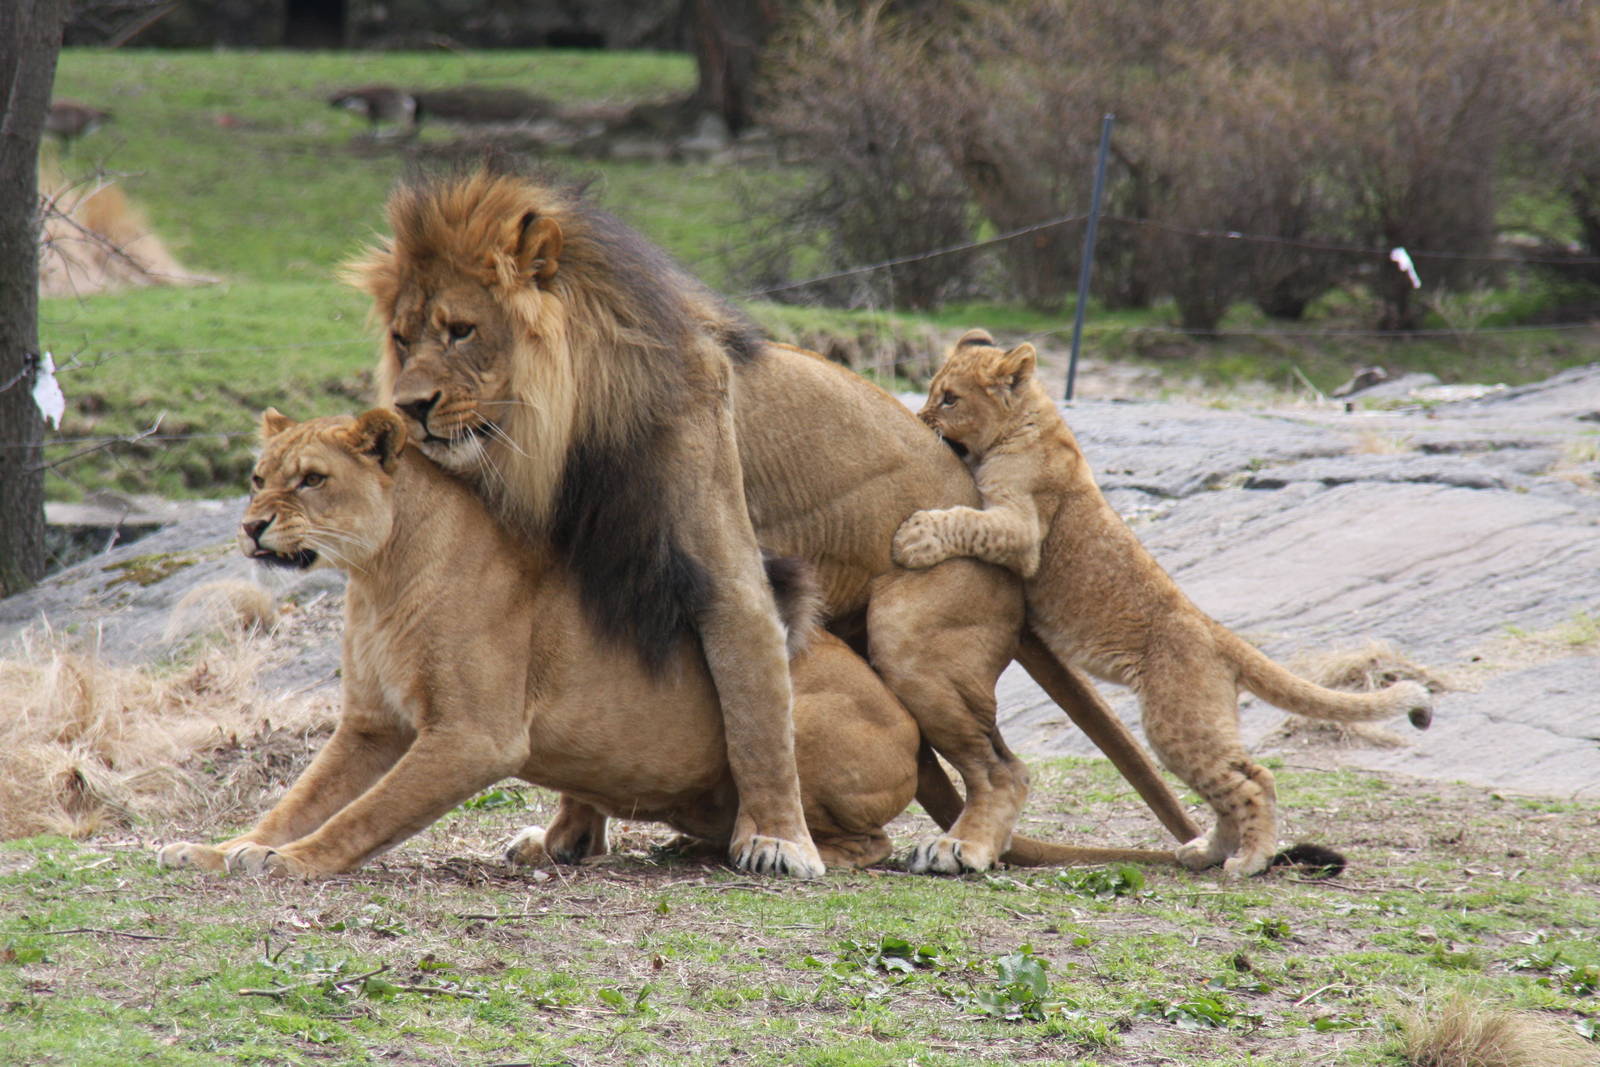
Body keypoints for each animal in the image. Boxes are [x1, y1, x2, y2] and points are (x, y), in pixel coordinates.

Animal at [157, 409, 934, 876]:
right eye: (257, 478)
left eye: (313, 480)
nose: (251, 525)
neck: (380, 577)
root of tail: (907, 721)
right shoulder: (369, 726)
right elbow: (296, 801)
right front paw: (218, 850)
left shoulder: (475, 736)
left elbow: (361, 815)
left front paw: (291, 862)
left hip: (802, 725)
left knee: (868, 840)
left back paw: (765, 848)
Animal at [344, 166, 1200, 876]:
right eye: (402, 338)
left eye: (461, 330)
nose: (409, 407)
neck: (567, 432)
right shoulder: (597, 575)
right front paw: (565, 836)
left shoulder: (731, 573)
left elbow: (757, 712)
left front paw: (778, 842)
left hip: (914, 631)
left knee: (1002, 766)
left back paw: (962, 847)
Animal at [892, 331, 1435, 876]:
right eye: (934, 392)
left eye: (949, 399)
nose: (918, 418)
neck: (1028, 422)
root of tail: (1216, 632)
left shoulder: (1022, 529)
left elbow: (965, 520)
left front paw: (914, 537)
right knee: (1229, 790)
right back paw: (1205, 851)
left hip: (1177, 723)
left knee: (1255, 779)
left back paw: (1249, 860)